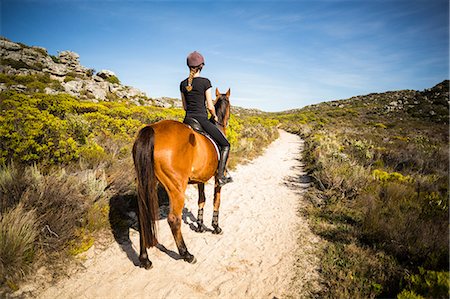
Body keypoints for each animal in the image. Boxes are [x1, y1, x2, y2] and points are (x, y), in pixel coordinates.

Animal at [132, 88, 232, 270]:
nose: (226, 122)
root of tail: (152, 129)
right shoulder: (216, 177)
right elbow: (216, 201)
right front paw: (215, 227)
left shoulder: (200, 179)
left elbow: (201, 200)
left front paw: (199, 225)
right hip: (176, 187)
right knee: (174, 219)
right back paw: (186, 254)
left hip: (145, 183)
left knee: (143, 215)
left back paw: (144, 259)